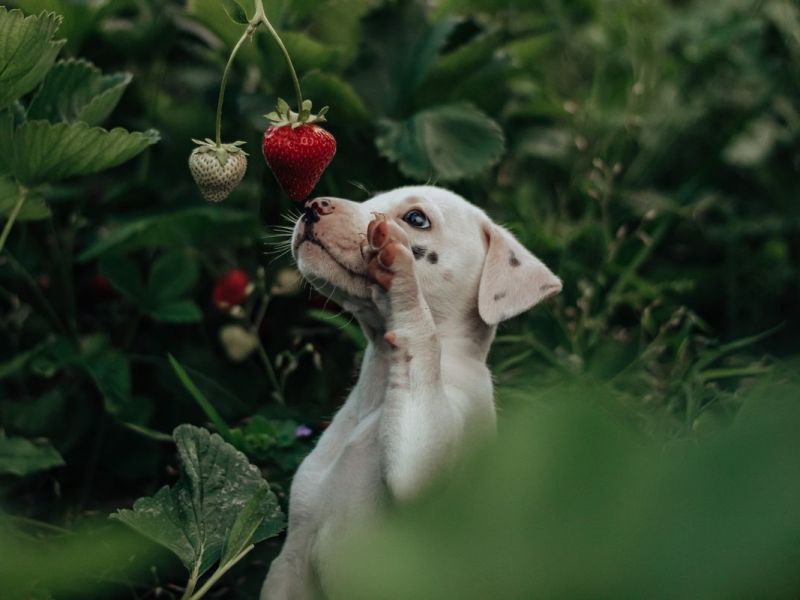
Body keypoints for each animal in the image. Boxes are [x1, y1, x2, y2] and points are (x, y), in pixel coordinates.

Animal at [260, 185, 560, 596]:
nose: (314, 205)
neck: (380, 388)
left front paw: (402, 276)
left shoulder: (423, 462)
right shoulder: (290, 563)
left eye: (416, 219)